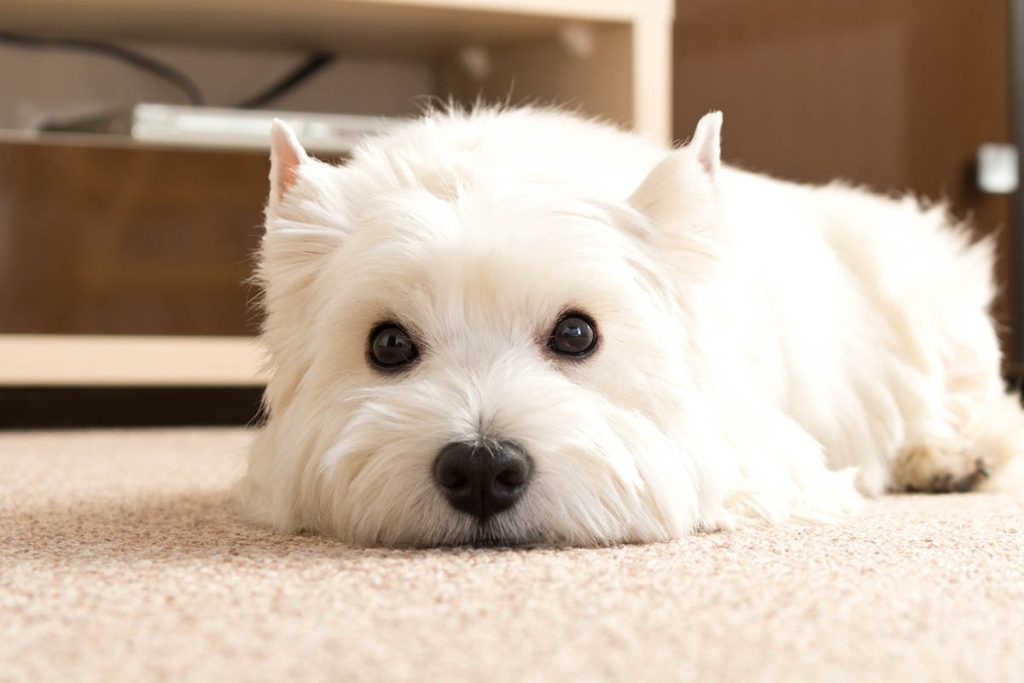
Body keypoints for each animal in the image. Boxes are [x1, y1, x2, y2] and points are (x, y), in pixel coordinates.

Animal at [241, 105, 1024, 544]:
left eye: (577, 333)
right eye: (389, 344)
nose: (483, 469)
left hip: (928, 308)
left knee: (980, 412)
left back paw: (947, 458)